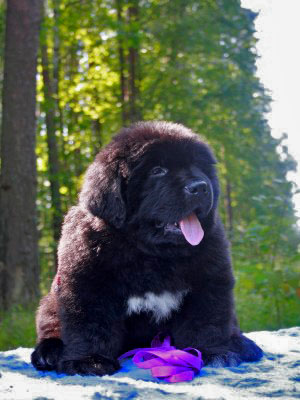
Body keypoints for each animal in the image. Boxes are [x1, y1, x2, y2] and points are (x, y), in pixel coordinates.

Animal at [31, 121, 262, 376]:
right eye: (158, 170)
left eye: (198, 166)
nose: (200, 187)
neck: (151, 254)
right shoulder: (87, 284)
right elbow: (90, 324)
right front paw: (89, 361)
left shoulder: (209, 280)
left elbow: (207, 320)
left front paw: (214, 352)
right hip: (51, 300)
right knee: (51, 326)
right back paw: (48, 353)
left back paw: (241, 344)